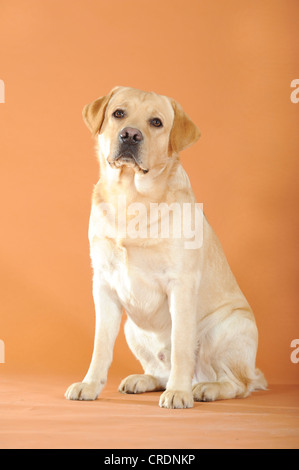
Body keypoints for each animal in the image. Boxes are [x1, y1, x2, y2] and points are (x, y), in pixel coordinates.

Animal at [65, 85, 268, 408]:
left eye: (156, 122)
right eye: (118, 113)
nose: (130, 135)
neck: (131, 197)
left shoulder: (181, 284)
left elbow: (182, 346)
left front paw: (179, 392)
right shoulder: (104, 285)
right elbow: (100, 346)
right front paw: (90, 384)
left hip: (226, 328)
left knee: (238, 384)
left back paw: (204, 388)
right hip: (132, 329)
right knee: (159, 369)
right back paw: (144, 380)